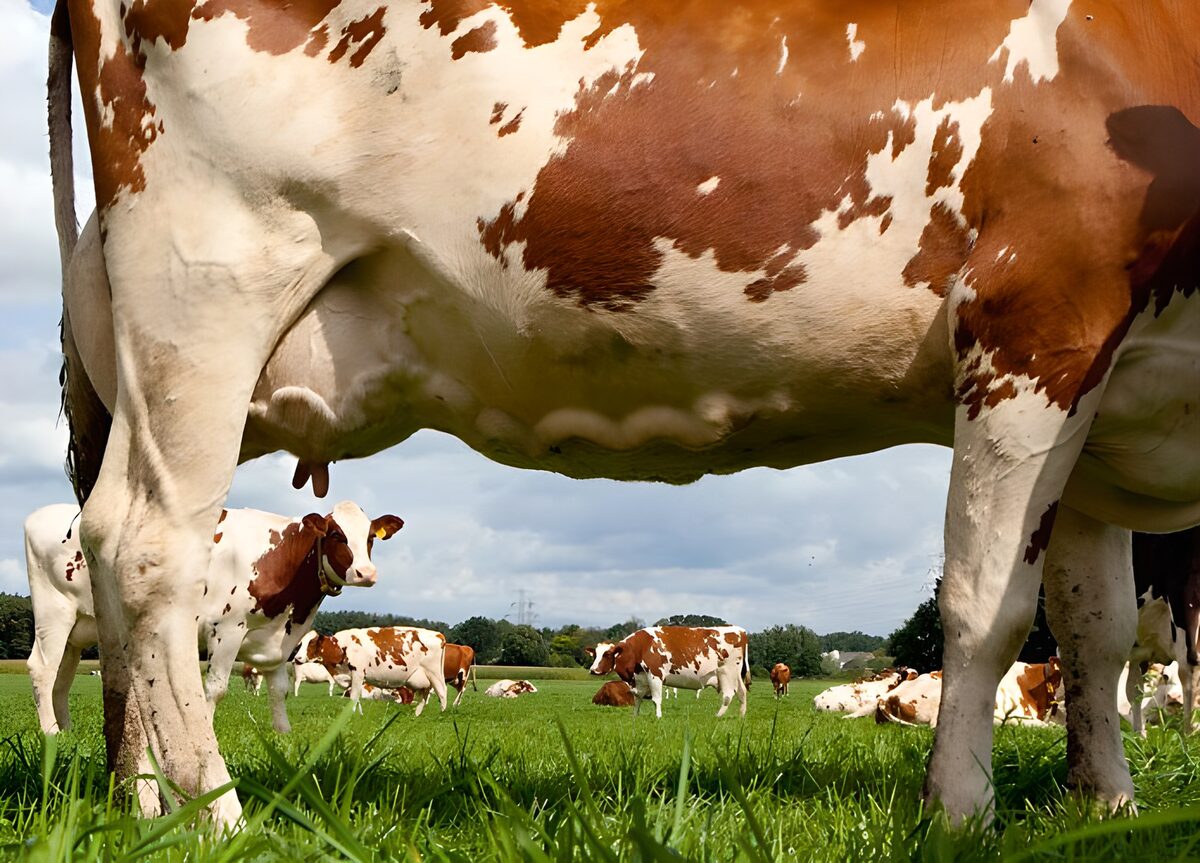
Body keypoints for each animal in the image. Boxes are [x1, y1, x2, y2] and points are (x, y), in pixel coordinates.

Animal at [24, 502, 398, 735]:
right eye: (336, 535)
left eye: (370, 538)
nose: (366, 573)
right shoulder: (227, 629)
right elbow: (215, 689)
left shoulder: (279, 639)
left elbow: (278, 689)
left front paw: (283, 734)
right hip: (54, 613)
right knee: (42, 669)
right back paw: (50, 732)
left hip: (78, 629)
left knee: (62, 677)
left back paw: (67, 729)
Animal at [307, 628, 448, 716]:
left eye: (311, 643)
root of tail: (439, 635)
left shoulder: (357, 673)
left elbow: (354, 696)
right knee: (425, 694)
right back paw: (417, 714)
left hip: (434, 673)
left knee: (442, 691)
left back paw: (441, 713)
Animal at [587, 626, 750, 718]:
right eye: (595, 655)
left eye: (607, 654)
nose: (593, 670)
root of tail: (740, 630)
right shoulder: (640, 679)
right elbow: (637, 699)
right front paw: (635, 716)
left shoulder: (655, 675)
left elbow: (656, 699)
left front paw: (658, 717)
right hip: (735, 675)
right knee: (742, 692)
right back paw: (741, 716)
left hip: (726, 672)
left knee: (728, 695)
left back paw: (718, 716)